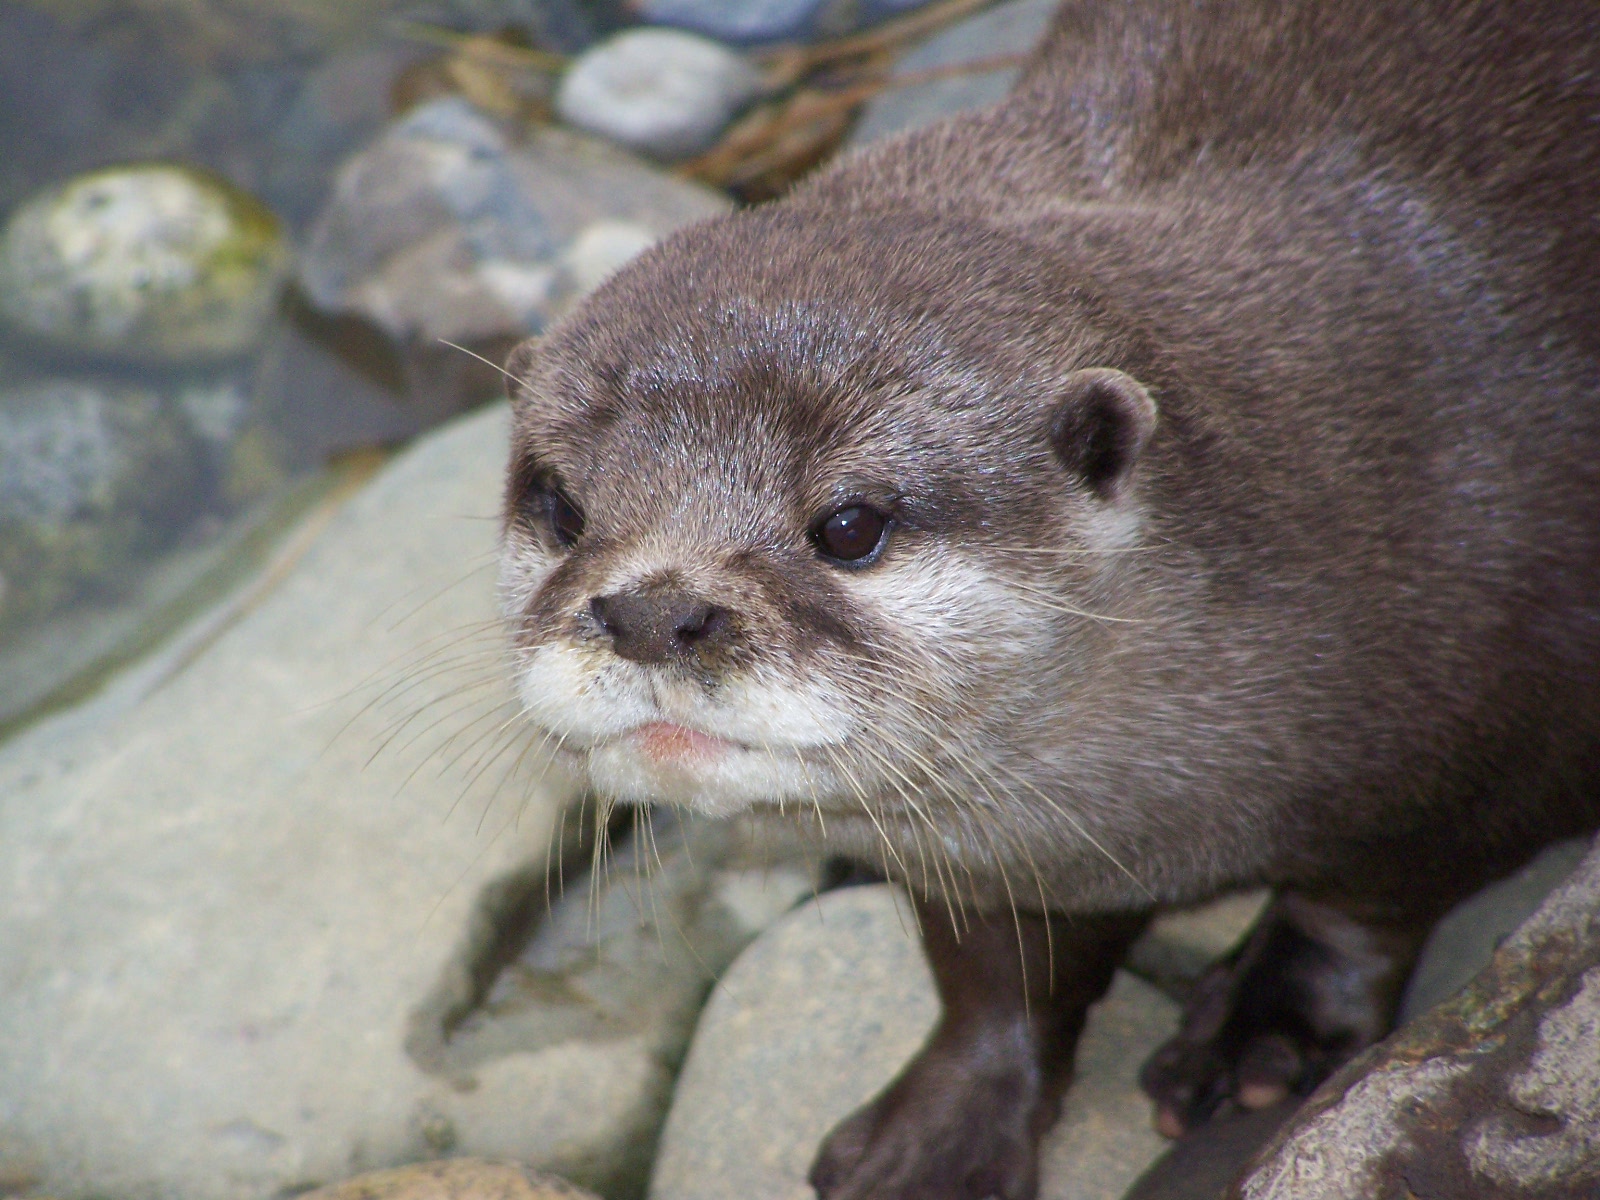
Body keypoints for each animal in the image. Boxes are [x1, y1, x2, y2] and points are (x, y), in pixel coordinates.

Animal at [497, 0, 1600, 1195]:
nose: (655, 610)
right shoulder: (999, 860)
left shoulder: (1503, 731)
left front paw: (1268, 1029)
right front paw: (937, 1136)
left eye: (849, 525)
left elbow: (1370, 898)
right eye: (562, 506)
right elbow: (997, 971)